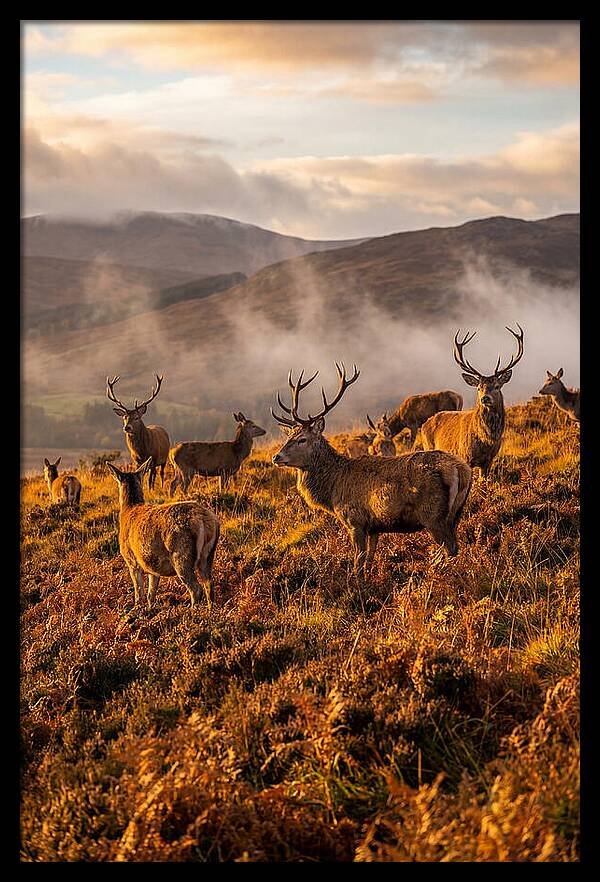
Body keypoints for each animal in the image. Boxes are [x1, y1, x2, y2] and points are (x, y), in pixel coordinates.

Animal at [106, 457, 220, 609]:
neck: (129, 509)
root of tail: (205, 521)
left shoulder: (131, 560)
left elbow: (139, 593)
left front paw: (138, 608)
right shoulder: (152, 566)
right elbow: (151, 594)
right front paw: (150, 608)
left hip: (181, 554)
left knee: (196, 588)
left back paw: (192, 611)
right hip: (208, 555)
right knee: (209, 584)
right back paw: (210, 610)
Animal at [271, 363, 472, 580]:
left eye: (302, 439)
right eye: (288, 436)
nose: (276, 457)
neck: (333, 490)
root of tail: (461, 469)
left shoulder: (355, 521)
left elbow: (358, 561)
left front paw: (356, 582)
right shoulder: (374, 526)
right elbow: (369, 559)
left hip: (433, 514)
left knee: (450, 548)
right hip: (456, 512)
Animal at [420, 325, 524, 478]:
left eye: (497, 386)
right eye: (479, 388)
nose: (485, 398)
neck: (486, 440)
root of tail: (424, 425)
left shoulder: (489, 460)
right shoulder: (465, 456)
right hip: (429, 447)